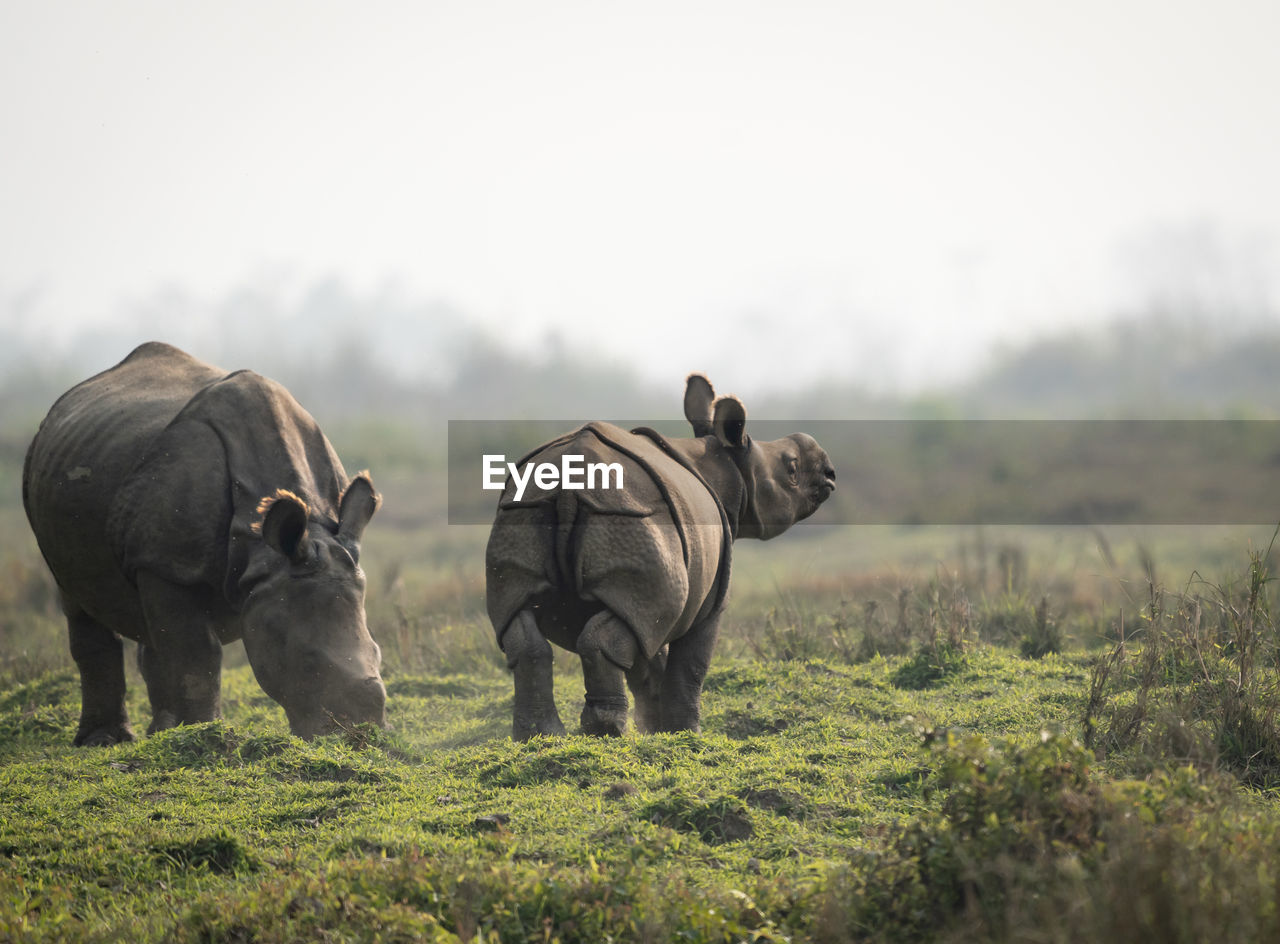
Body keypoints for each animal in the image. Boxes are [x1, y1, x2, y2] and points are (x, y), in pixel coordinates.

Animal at [22, 340, 386, 741]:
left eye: (379, 653)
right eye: (306, 663)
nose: (361, 734)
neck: (265, 551)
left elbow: (180, 645)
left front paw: (185, 735)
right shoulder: (168, 562)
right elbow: (197, 655)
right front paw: (205, 735)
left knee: (151, 625)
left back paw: (159, 732)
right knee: (78, 597)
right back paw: (106, 741)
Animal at [483, 370, 834, 736]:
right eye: (792, 469)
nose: (829, 473)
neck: (729, 465)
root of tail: (569, 485)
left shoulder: (650, 605)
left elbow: (648, 663)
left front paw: (654, 729)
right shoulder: (704, 599)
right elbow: (690, 665)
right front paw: (685, 734)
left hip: (523, 512)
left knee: (520, 621)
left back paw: (542, 735)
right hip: (632, 517)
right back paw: (608, 732)